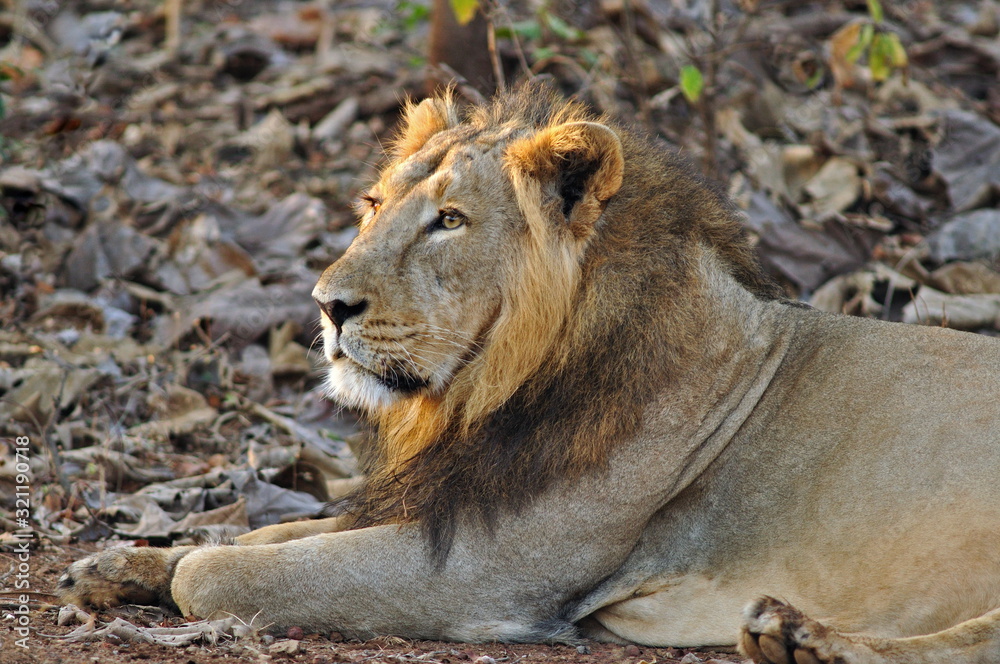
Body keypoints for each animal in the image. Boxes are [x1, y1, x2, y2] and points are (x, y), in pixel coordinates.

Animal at [59, 84, 1000, 664]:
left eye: (448, 220)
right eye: (374, 207)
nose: (327, 306)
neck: (479, 395)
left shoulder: (490, 569)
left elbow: (223, 574)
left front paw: (171, 569)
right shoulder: (447, 503)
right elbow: (268, 536)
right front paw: (118, 564)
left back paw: (805, 639)